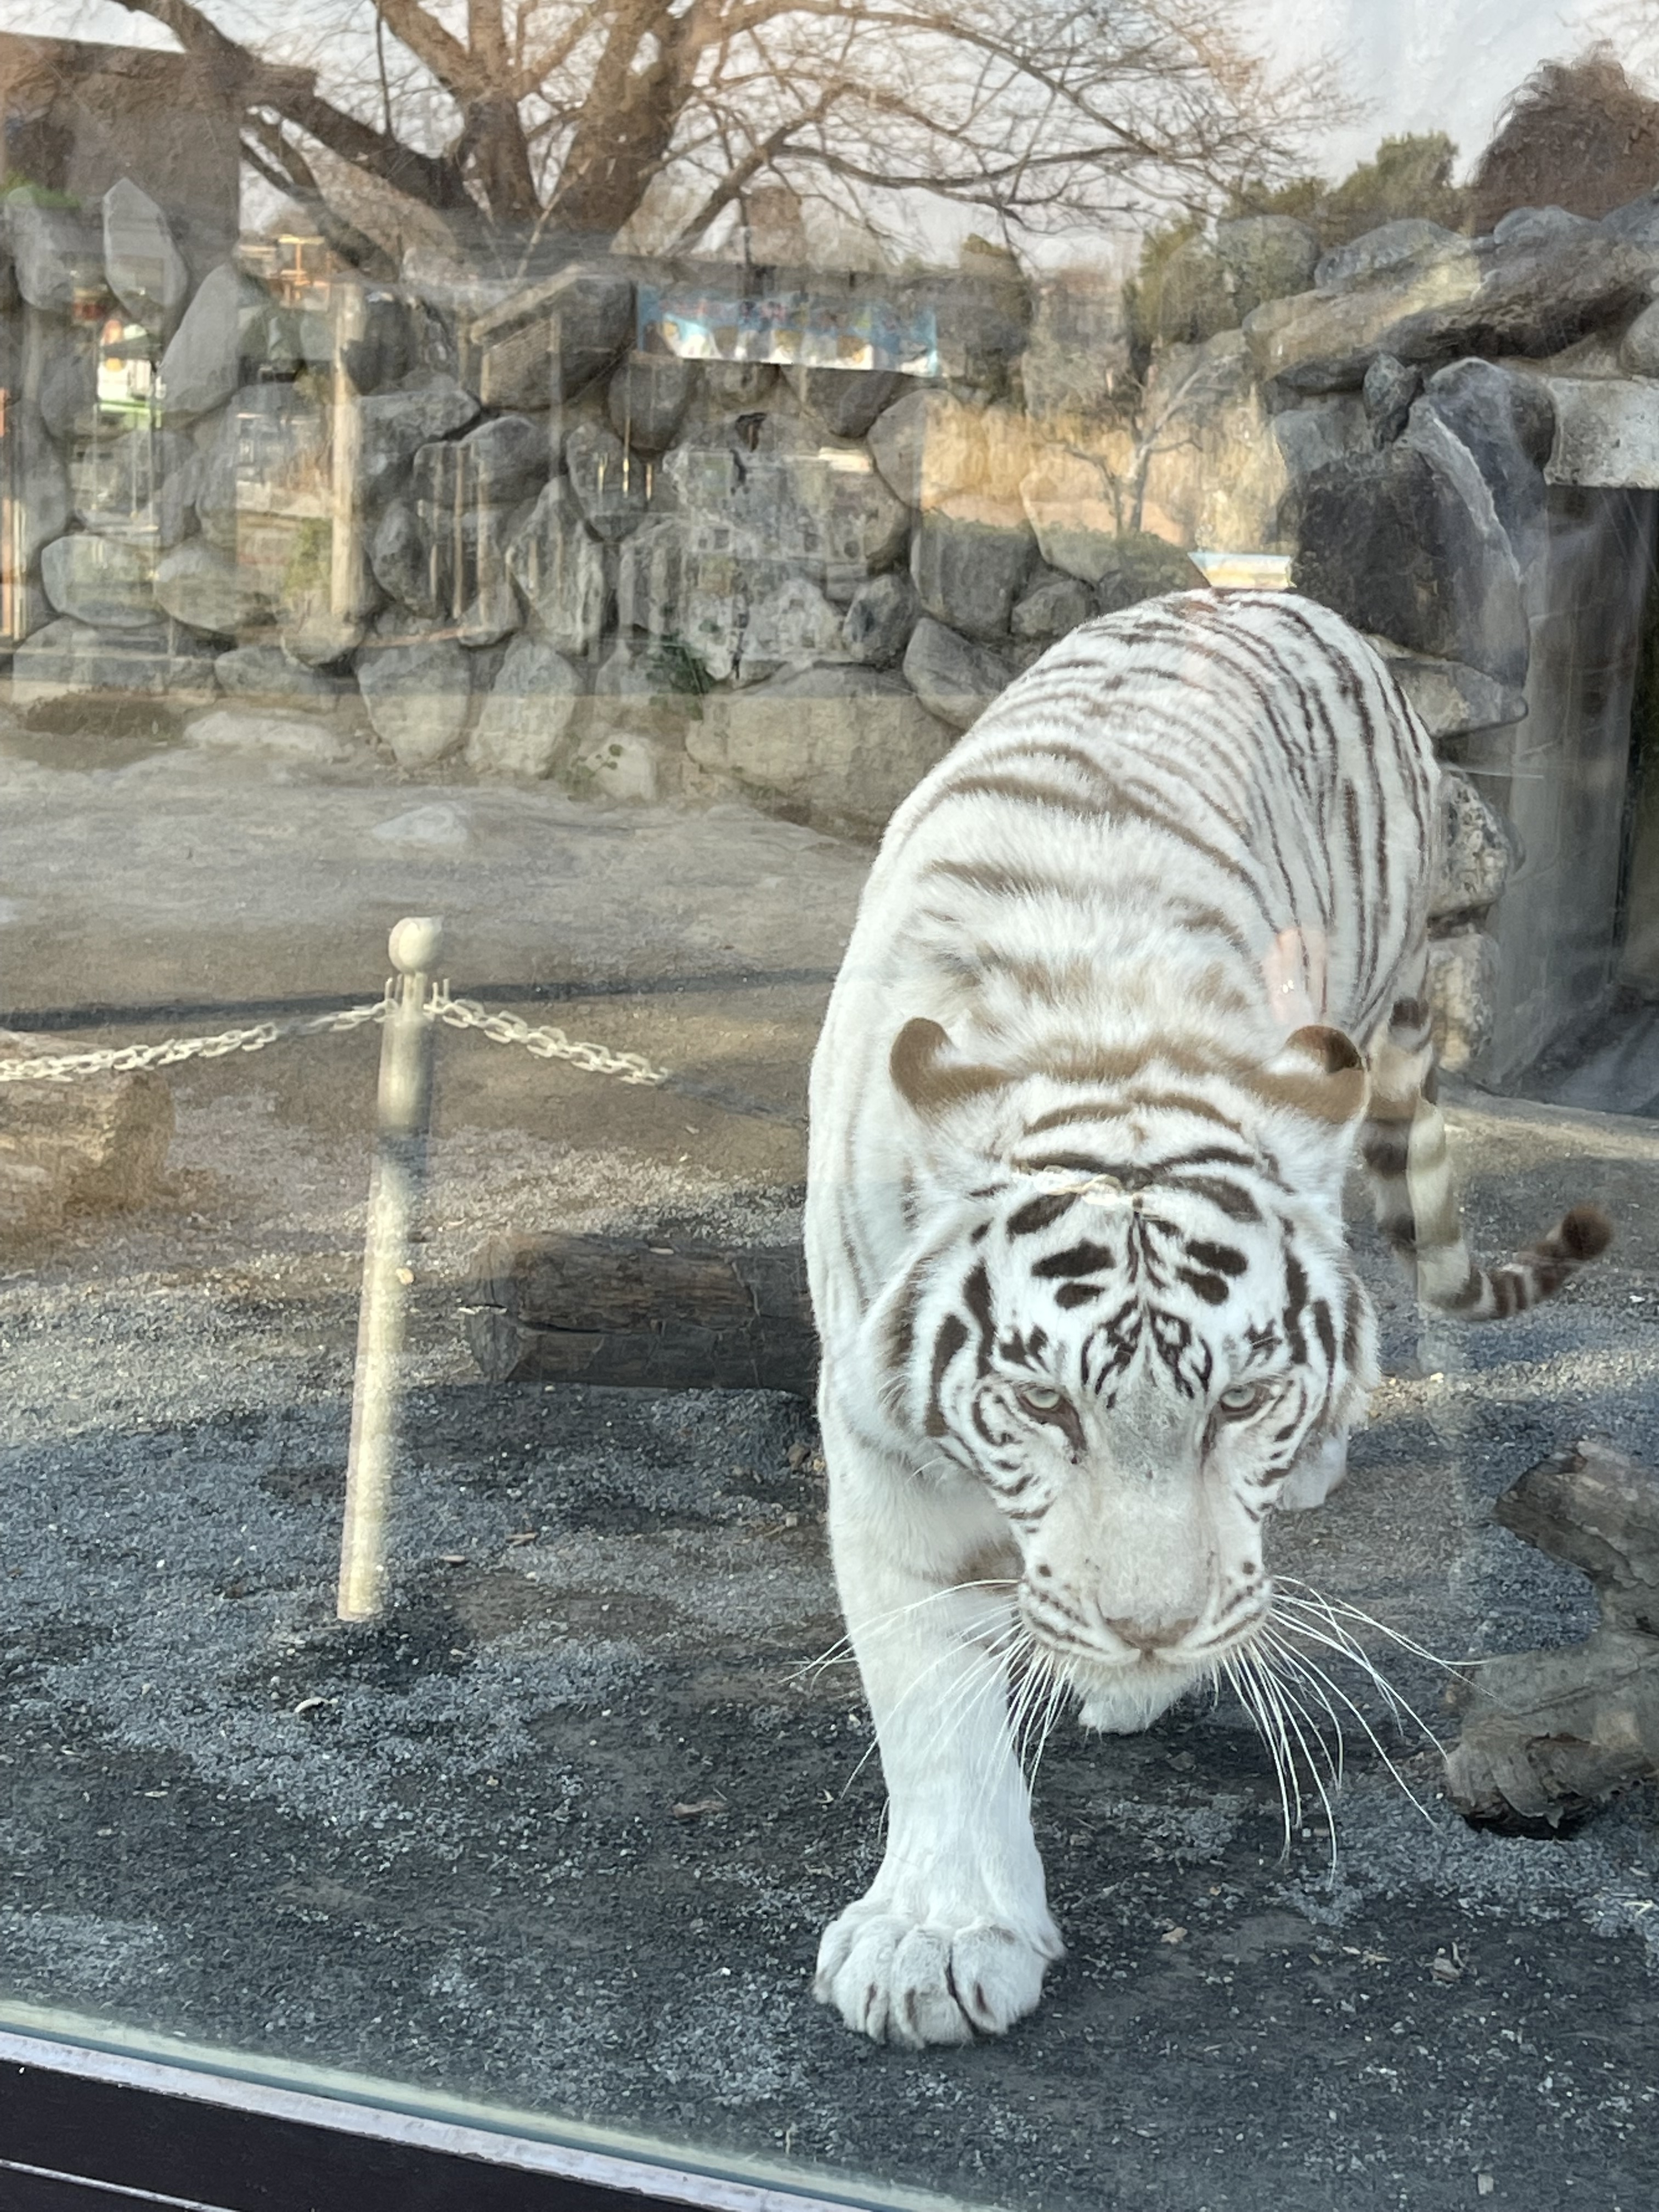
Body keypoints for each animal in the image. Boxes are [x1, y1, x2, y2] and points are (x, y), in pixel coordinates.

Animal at [800, 592, 1610, 2052]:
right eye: (1040, 1403)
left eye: (1244, 1398)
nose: (1151, 1634)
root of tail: (1275, 596)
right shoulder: (879, 1437)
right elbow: (929, 1687)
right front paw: (937, 1938)